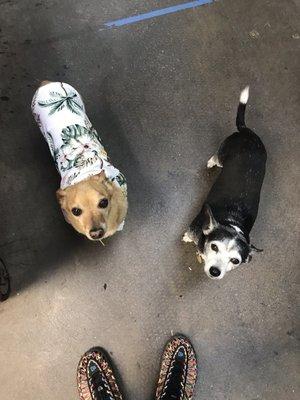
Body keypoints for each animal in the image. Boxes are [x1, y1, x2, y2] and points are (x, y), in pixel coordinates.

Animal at [183, 86, 268, 280]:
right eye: (214, 247)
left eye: (235, 261)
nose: (215, 271)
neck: (232, 223)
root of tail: (247, 132)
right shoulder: (195, 227)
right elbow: (190, 234)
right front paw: (187, 238)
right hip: (223, 152)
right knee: (217, 157)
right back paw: (211, 162)